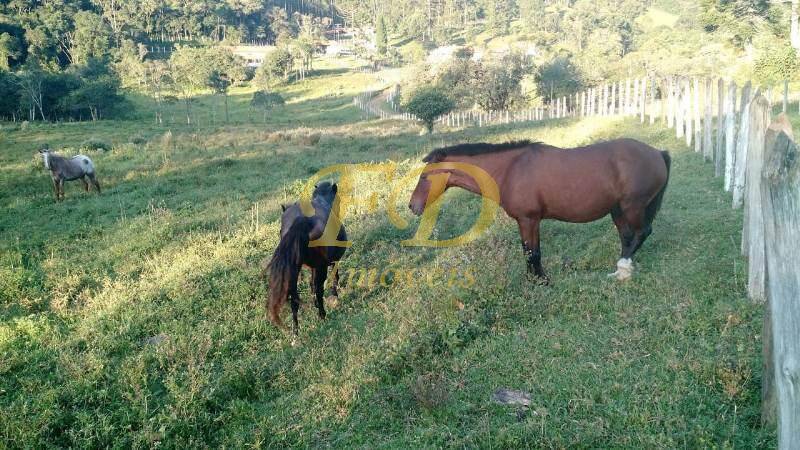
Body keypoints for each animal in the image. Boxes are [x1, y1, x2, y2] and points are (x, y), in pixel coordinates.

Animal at [266, 181, 346, 336]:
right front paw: (334, 296)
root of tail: (302, 220)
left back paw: (295, 332)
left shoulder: (313, 266)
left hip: (294, 270)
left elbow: (311, 285)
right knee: (320, 289)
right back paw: (322, 315)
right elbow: (333, 278)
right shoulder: (330, 262)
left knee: (294, 300)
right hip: (321, 266)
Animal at [410, 139, 672, 284]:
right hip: (617, 210)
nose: (412, 206)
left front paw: (539, 281)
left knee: (642, 232)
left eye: (424, 177)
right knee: (628, 237)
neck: (511, 170)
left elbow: (531, 253)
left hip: (633, 207)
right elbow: (532, 251)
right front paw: (537, 278)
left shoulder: (528, 219)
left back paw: (623, 269)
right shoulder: (530, 221)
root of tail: (658, 153)